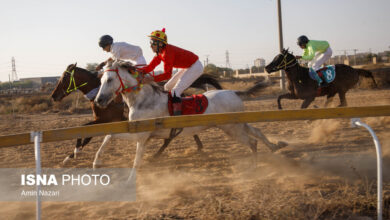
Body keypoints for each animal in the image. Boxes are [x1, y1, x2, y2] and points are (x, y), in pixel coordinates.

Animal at [50, 62, 224, 164]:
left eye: (64, 78)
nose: (53, 96)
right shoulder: (102, 120)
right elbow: (85, 131)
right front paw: (71, 155)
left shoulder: (107, 120)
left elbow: (85, 134)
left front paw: (72, 154)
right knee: (175, 135)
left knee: (171, 136)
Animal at [94, 59, 286, 180]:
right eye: (101, 79)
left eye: (109, 79)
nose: (99, 100)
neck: (144, 100)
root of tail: (233, 92)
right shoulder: (139, 133)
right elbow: (109, 135)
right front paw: (96, 163)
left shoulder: (142, 137)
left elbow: (136, 161)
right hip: (236, 124)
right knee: (257, 132)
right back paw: (275, 146)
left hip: (231, 128)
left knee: (252, 142)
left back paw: (253, 168)